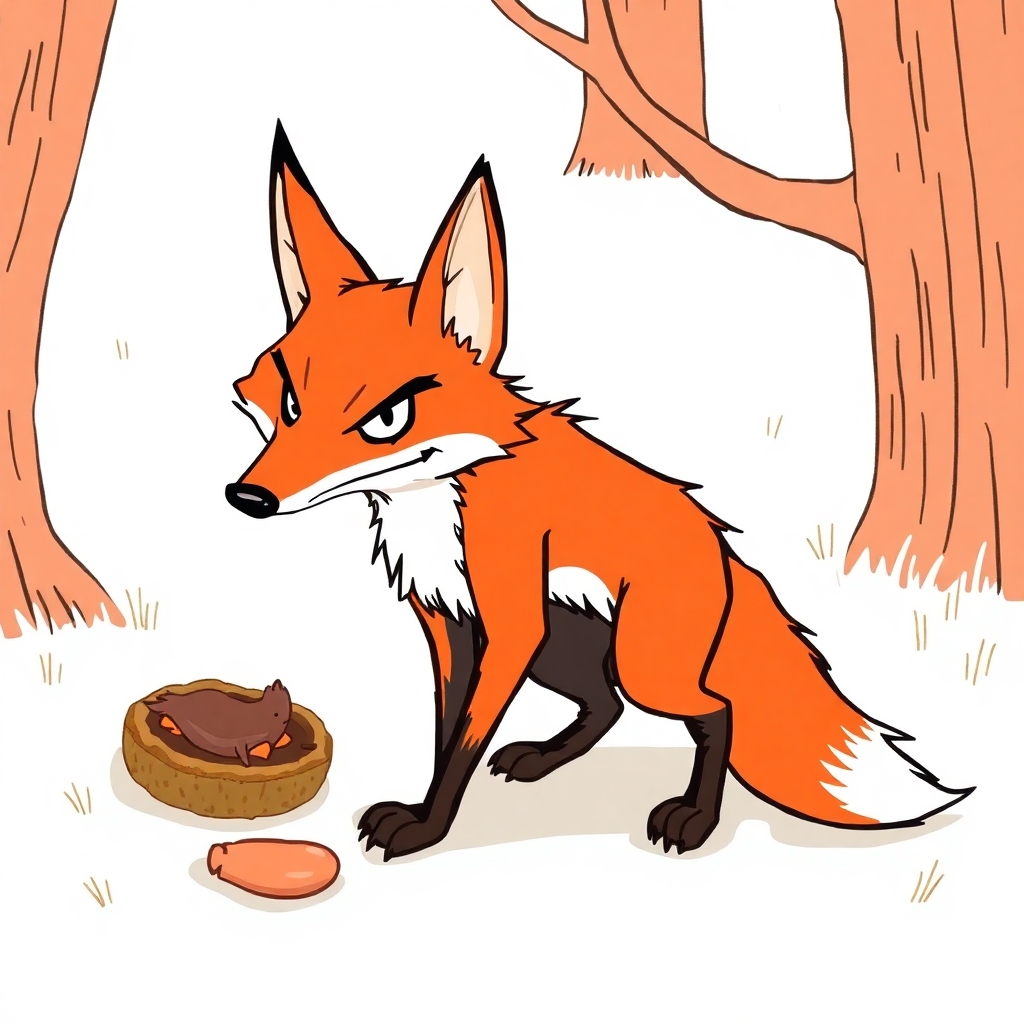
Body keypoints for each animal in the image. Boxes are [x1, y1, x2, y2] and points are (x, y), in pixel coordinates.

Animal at [226, 122, 971, 861]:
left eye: (387, 418)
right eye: (289, 403)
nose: (248, 498)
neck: (438, 498)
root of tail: (721, 546)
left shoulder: (508, 624)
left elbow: (465, 741)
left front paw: (426, 827)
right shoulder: (449, 624)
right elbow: (445, 731)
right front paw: (426, 808)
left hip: (639, 663)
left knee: (713, 710)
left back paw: (693, 819)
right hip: (566, 649)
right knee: (606, 704)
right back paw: (540, 760)